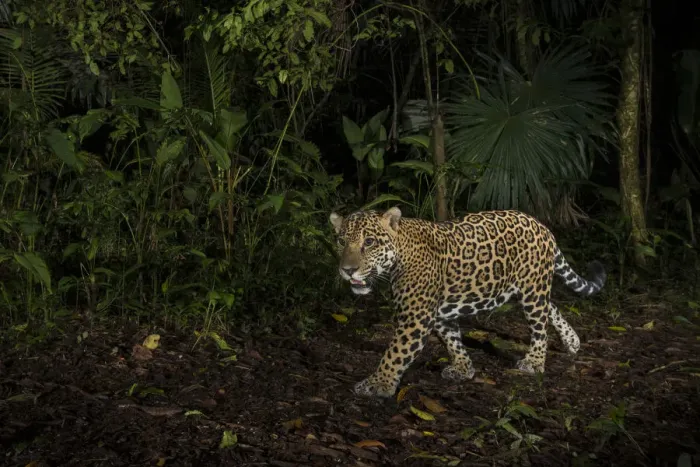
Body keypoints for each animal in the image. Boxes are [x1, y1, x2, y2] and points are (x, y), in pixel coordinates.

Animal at [329, 206, 606, 398]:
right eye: (341, 241)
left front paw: (378, 384)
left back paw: (535, 361)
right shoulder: (439, 311)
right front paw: (464, 368)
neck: (400, 254)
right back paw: (571, 340)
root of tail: (541, 225)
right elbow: (452, 339)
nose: (347, 270)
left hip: (531, 290)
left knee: (539, 327)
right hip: (527, 288)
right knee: (551, 306)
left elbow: (395, 353)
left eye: (369, 242)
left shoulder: (416, 318)